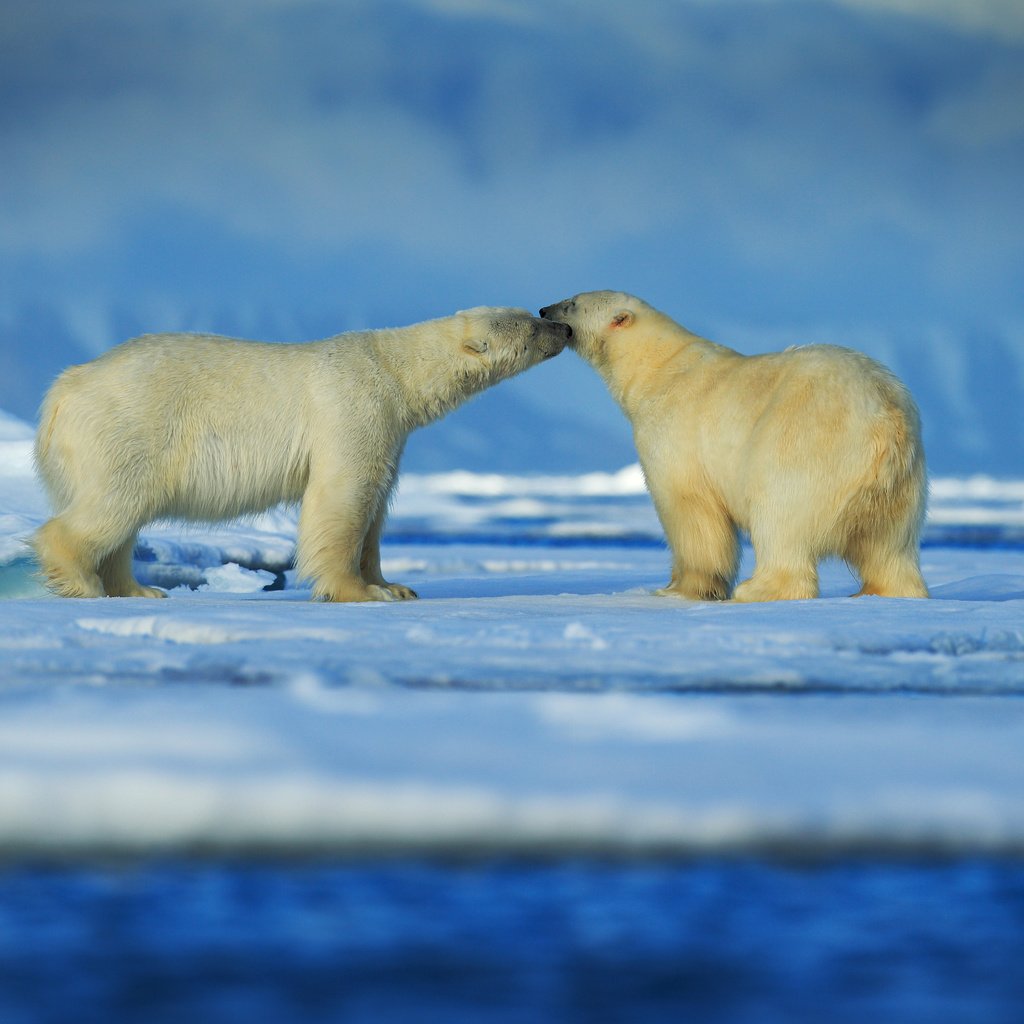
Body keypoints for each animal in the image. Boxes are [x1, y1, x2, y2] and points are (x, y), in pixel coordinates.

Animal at [32, 307, 573, 602]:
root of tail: (64, 388)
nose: (563, 328)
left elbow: (376, 506)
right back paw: (82, 582)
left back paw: (138, 588)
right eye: (529, 324)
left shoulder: (392, 431)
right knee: (112, 505)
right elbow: (344, 496)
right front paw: (359, 591)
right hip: (131, 426)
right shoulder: (354, 406)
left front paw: (395, 585)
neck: (395, 371)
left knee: (124, 518)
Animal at [540, 290, 933, 598]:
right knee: (890, 547)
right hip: (903, 485)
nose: (544, 310)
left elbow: (688, 509)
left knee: (780, 517)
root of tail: (885, 418)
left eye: (572, 302)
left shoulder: (674, 432)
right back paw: (886, 591)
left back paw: (758, 588)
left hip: (805, 446)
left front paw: (679, 588)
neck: (656, 368)